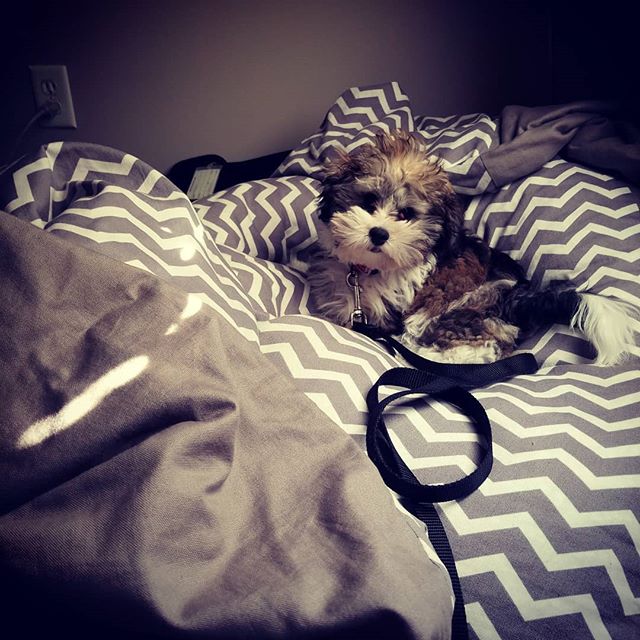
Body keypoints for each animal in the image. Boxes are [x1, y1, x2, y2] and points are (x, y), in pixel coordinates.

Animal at [308, 129, 636, 364]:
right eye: (367, 202)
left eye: (406, 214)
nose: (378, 234)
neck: (369, 270)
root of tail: (519, 299)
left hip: (460, 309)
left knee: (479, 348)